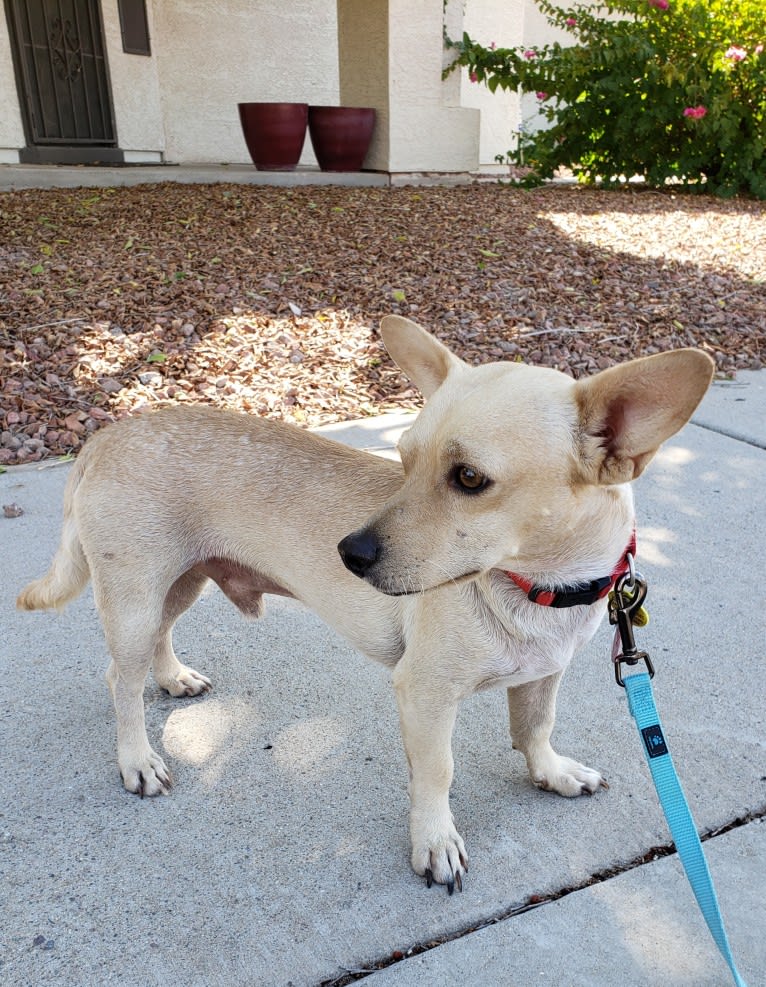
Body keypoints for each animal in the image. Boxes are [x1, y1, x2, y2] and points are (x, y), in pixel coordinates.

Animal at [16, 318, 712, 896]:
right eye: (402, 460)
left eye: (469, 479)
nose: (349, 552)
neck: (538, 584)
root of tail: (107, 436)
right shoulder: (425, 696)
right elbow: (437, 773)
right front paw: (435, 842)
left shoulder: (544, 674)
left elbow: (534, 730)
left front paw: (553, 772)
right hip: (135, 596)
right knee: (120, 679)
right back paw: (137, 758)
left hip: (180, 584)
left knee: (157, 643)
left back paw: (172, 678)